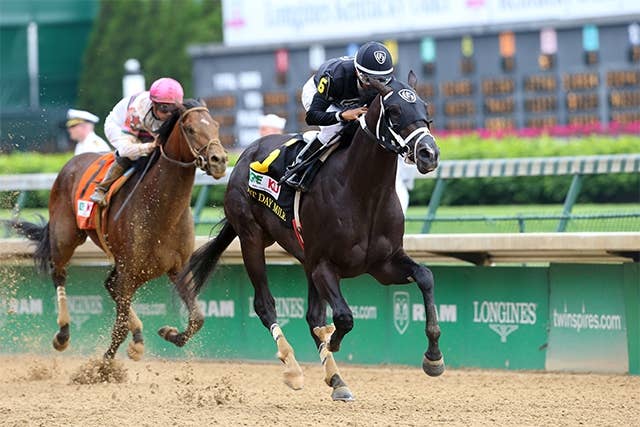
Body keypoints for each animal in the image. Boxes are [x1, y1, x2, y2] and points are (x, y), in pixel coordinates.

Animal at [8, 99, 227, 360]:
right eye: (191, 129)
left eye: (216, 125)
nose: (219, 160)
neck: (161, 210)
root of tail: (70, 163)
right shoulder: (129, 269)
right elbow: (119, 328)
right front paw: (104, 365)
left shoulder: (176, 268)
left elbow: (197, 319)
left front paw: (168, 333)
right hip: (66, 238)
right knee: (59, 273)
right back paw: (63, 334)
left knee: (110, 285)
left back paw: (139, 337)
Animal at [162, 72, 443, 401]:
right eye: (395, 111)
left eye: (424, 106)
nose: (429, 154)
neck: (363, 192)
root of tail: (244, 156)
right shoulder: (324, 264)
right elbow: (344, 317)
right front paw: (332, 341)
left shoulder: (383, 265)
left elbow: (425, 277)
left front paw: (433, 358)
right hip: (252, 239)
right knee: (265, 305)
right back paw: (294, 368)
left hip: (304, 259)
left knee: (312, 316)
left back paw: (337, 379)